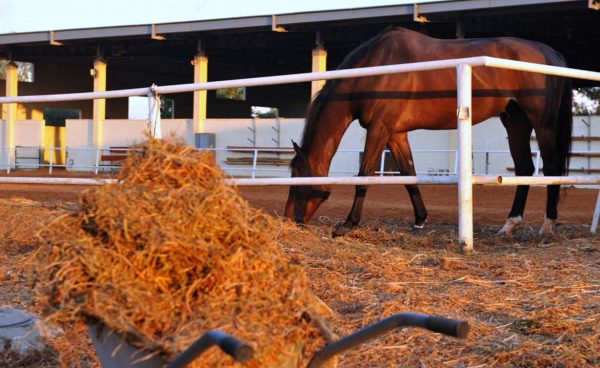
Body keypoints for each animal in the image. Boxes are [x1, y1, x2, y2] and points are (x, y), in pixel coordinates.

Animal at [284, 28, 576, 236]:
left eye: (298, 175)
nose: (288, 219)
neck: (377, 69)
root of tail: (553, 55)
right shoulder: (396, 134)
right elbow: (408, 175)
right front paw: (420, 220)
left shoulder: (379, 128)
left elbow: (364, 175)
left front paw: (348, 224)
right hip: (515, 121)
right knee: (525, 168)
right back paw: (509, 225)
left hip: (543, 123)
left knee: (551, 169)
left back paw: (547, 225)